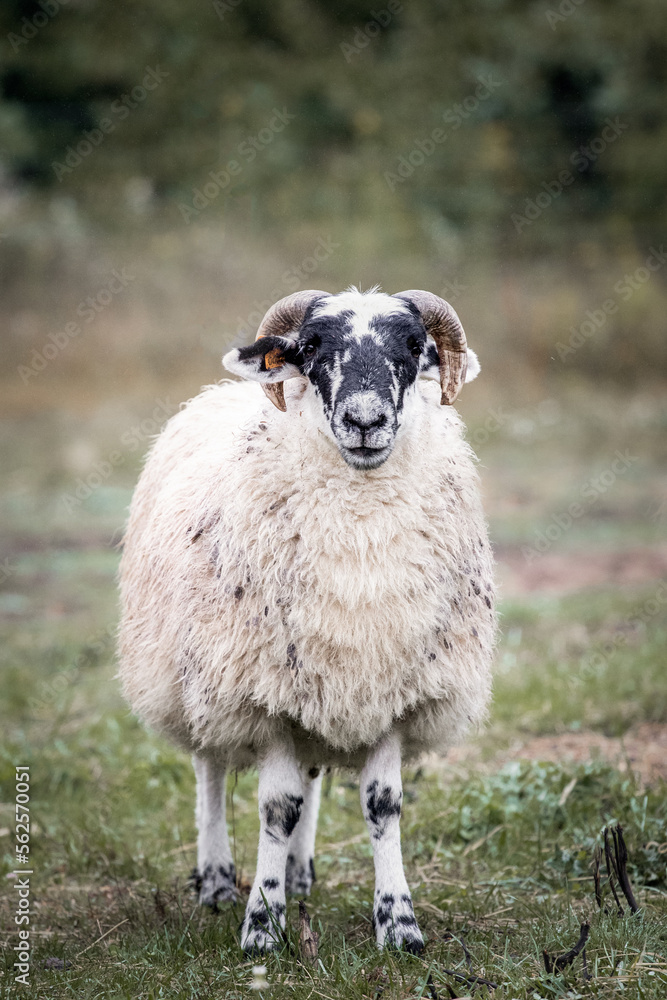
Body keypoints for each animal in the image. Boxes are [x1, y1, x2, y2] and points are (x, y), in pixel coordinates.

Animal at [118, 286, 496, 954]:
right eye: (312, 347)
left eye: (414, 345)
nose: (365, 420)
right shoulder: (262, 694)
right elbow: (277, 807)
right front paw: (261, 926)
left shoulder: (388, 690)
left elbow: (382, 805)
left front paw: (399, 924)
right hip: (200, 682)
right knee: (210, 770)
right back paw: (218, 882)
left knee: (312, 774)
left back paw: (299, 874)